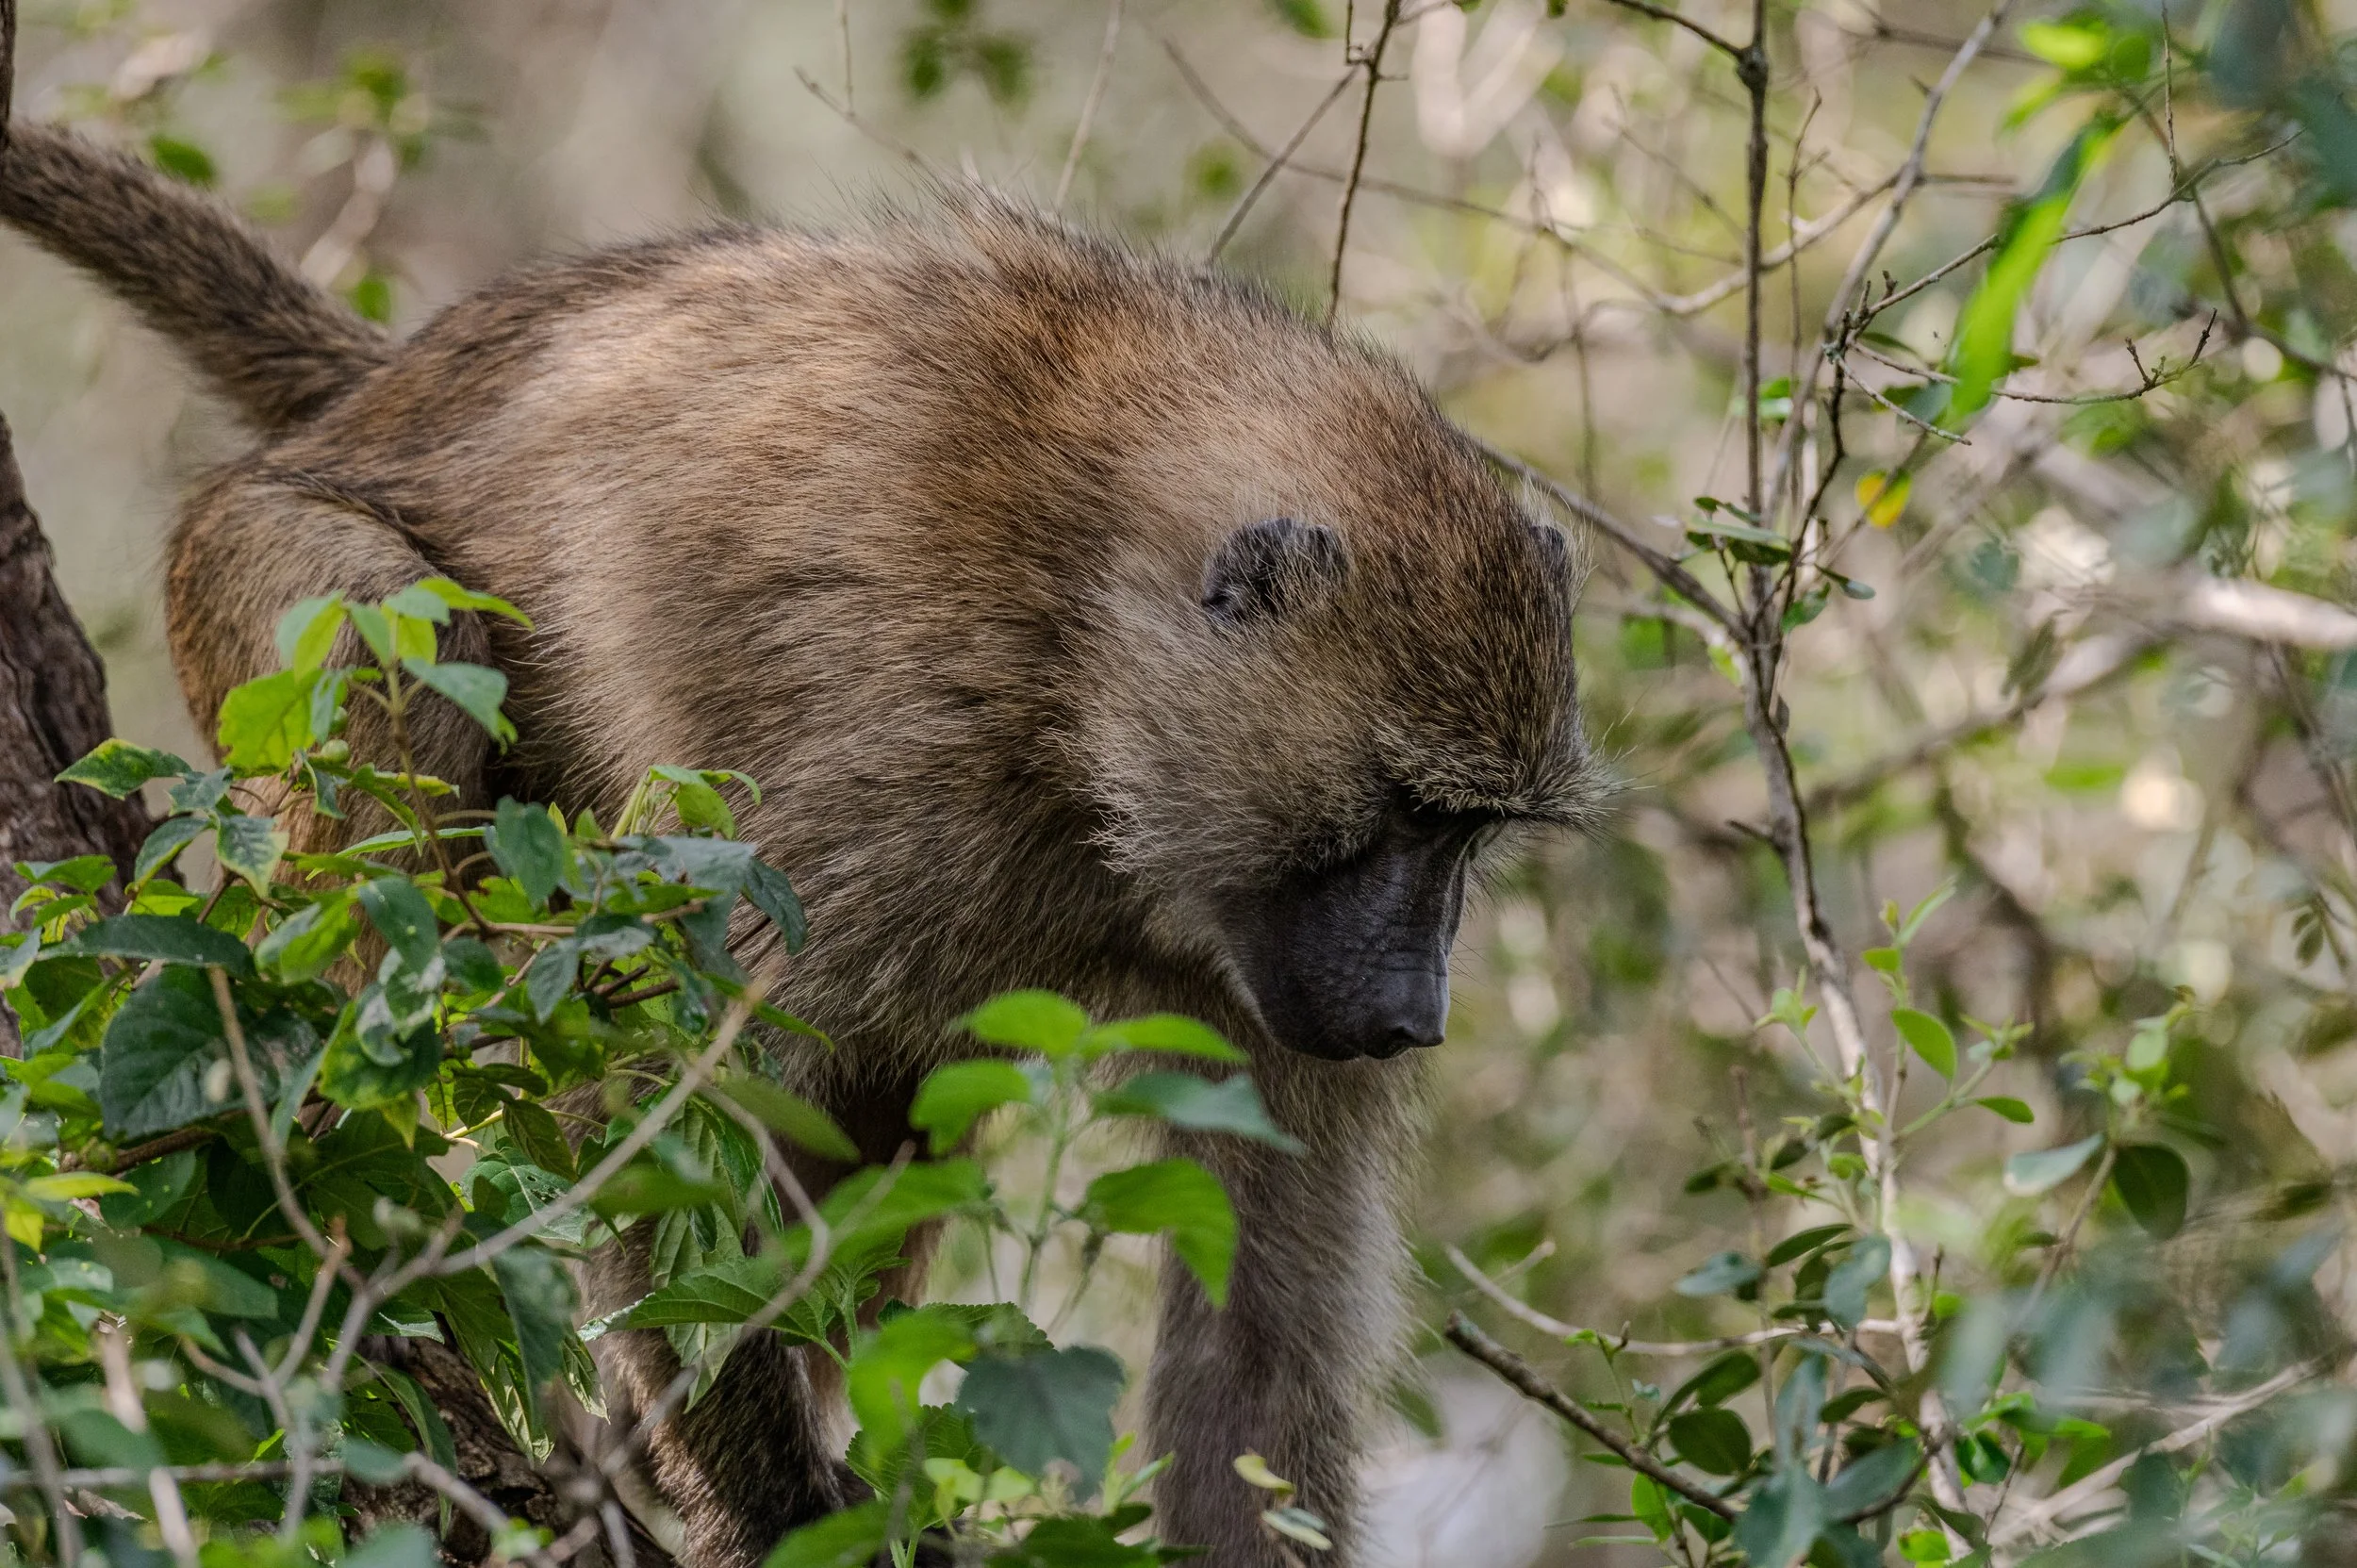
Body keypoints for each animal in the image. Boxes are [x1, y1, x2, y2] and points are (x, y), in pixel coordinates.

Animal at [0, 120, 1602, 1568]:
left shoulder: (1251, 963)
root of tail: (384, 386)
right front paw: (771, 1516)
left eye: (1466, 832)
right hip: (263, 573)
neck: (1083, 653)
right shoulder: (877, 795)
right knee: (399, 654)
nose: (1412, 1013)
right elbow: (661, 1109)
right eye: (1407, 812)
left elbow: (1261, 1345)